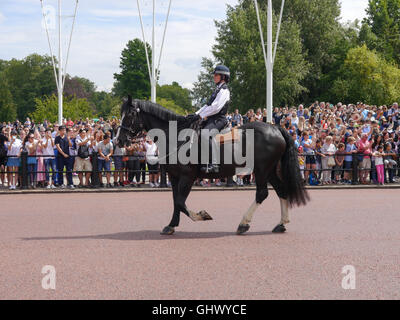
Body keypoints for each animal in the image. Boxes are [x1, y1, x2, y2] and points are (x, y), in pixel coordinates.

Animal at [115, 97, 310, 235]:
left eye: (130, 115)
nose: (119, 140)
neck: (176, 136)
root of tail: (276, 128)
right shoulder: (175, 176)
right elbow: (176, 201)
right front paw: (171, 225)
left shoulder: (187, 177)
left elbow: (180, 202)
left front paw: (201, 215)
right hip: (269, 171)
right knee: (281, 190)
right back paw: (281, 224)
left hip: (262, 170)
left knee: (262, 193)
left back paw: (243, 224)